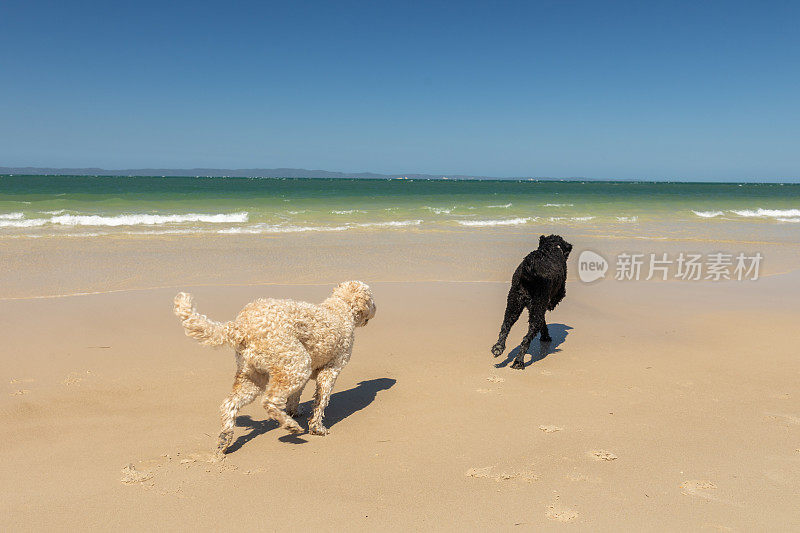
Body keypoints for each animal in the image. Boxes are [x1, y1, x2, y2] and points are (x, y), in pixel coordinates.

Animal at [173, 278, 376, 454]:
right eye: (372, 300)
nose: (375, 308)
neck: (340, 308)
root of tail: (241, 326)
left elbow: (295, 396)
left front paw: (295, 411)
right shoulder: (330, 371)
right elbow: (321, 402)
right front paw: (317, 427)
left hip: (253, 376)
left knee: (229, 404)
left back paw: (225, 438)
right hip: (297, 364)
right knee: (269, 401)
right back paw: (290, 426)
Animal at [490, 235, 572, 368]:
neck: (550, 247)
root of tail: (530, 271)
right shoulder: (552, 298)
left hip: (513, 304)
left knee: (505, 327)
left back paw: (498, 348)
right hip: (537, 306)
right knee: (526, 338)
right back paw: (518, 361)